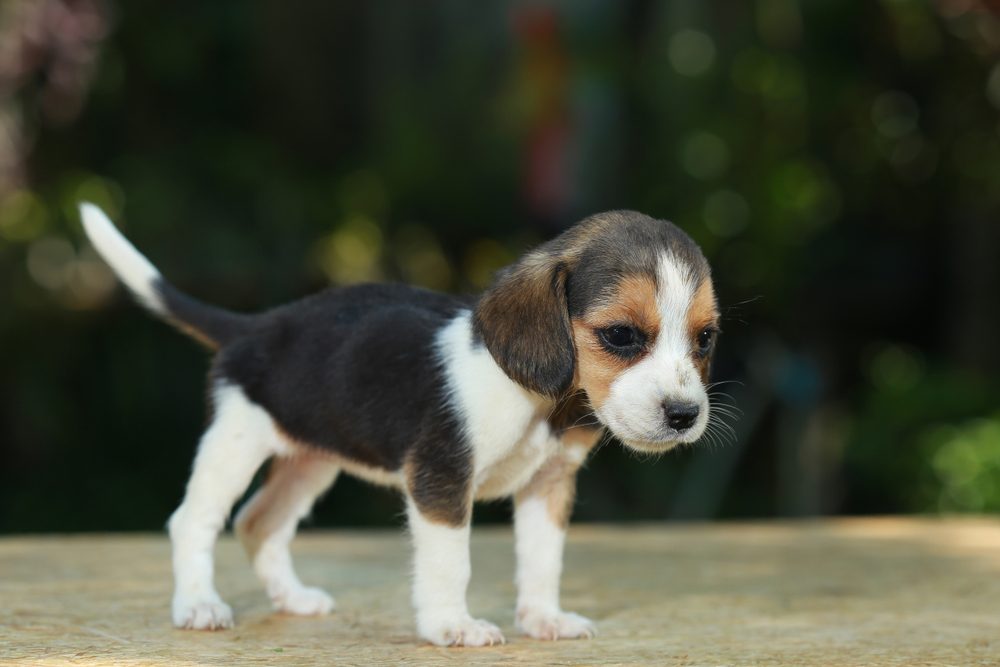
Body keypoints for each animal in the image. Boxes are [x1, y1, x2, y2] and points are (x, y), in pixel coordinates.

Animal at [80, 205, 720, 648]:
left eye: (706, 338)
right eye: (621, 336)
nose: (684, 415)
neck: (542, 405)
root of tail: (255, 326)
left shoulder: (550, 485)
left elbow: (542, 561)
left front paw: (542, 618)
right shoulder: (440, 480)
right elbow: (450, 562)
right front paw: (452, 626)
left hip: (309, 462)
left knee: (258, 523)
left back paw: (291, 599)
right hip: (234, 444)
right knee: (194, 522)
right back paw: (197, 606)